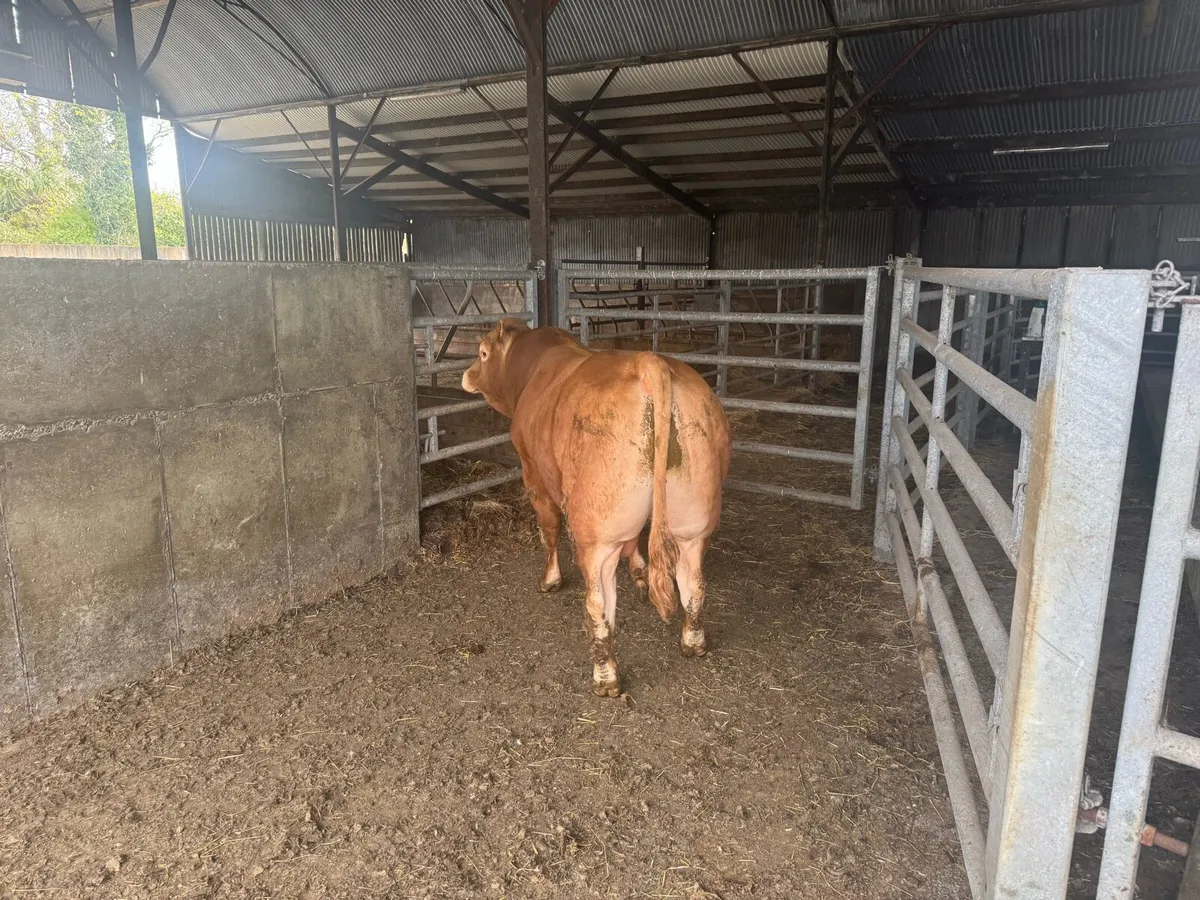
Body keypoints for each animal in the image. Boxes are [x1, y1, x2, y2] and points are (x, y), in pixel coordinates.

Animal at [462, 319, 731, 697]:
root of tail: (648, 361)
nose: (467, 375)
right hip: (692, 522)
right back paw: (693, 642)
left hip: (596, 536)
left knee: (598, 603)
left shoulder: (533, 473)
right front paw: (639, 574)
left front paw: (550, 579)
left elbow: (548, 528)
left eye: (483, 353)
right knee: (693, 585)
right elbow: (634, 545)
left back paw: (605, 676)